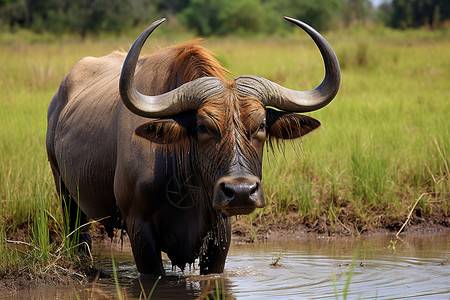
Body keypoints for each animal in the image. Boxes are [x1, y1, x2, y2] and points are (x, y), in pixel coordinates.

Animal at [46, 15, 342, 274]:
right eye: (202, 127)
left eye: (260, 125)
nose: (241, 191)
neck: (186, 186)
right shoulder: (139, 230)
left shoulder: (219, 234)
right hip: (65, 193)